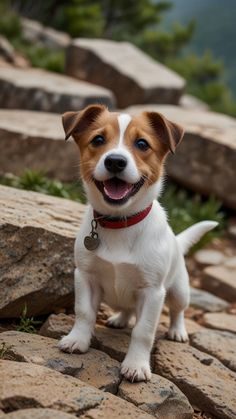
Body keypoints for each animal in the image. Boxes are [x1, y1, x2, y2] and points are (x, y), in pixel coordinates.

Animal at [58, 106, 217, 384]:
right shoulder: (85, 276)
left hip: (179, 290)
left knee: (177, 311)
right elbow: (84, 312)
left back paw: (177, 331)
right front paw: (78, 340)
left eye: (142, 144)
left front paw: (136, 365)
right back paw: (120, 319)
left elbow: (143, 330)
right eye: (98, 140)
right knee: (128, 309)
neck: (119, 223)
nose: (115, 161)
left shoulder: (152, 292)